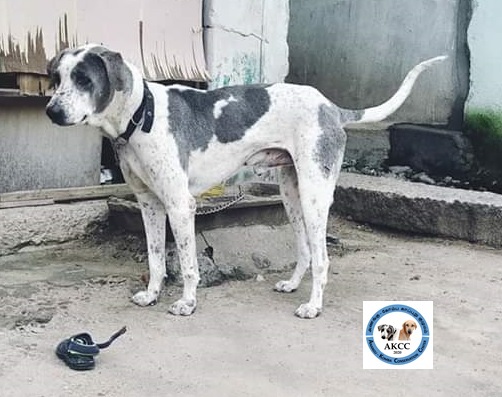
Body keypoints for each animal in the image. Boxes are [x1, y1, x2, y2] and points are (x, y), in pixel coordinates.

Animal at [46, 45, 448, 318]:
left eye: (84, 80)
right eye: (57, 79)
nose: (51, 111)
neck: (141, 115)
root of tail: (331, 107)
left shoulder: (180, 205)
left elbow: (187, 263)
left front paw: (187, 303)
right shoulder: (149, 205)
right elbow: (156, 258)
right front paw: (152, 294)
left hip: (315, 196)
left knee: (322, 258)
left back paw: (313, 306)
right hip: (291, 194)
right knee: (305, 250)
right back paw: (292, 285)